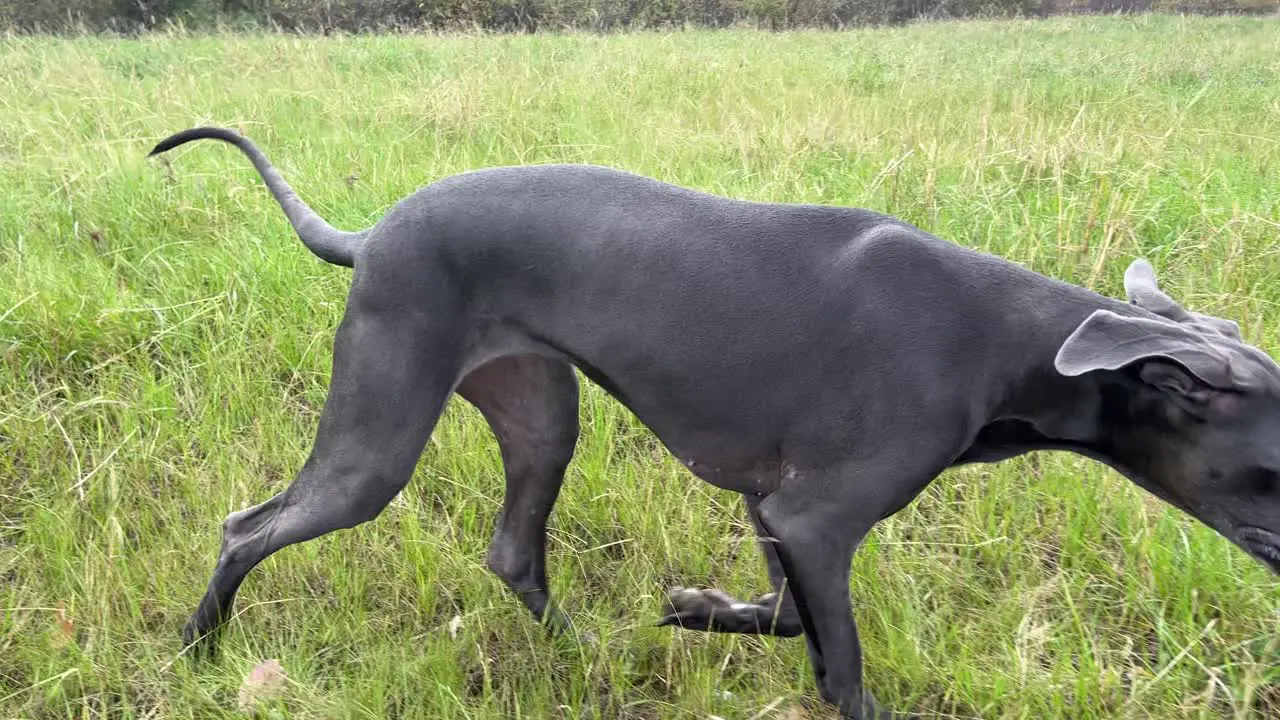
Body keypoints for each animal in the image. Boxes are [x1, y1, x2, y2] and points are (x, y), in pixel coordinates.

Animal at [152, 127, 1280, 717]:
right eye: (1275, 464)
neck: (1006, 344)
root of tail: (370, 233)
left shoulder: (774, 510)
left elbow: (785, 617)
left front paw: (696, 610)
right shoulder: (816, 518)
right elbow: (845, 671)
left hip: (539, 412)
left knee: (513, 551)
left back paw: (590, 654)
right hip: (379, 440)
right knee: (247, 527)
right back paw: (199, 655)